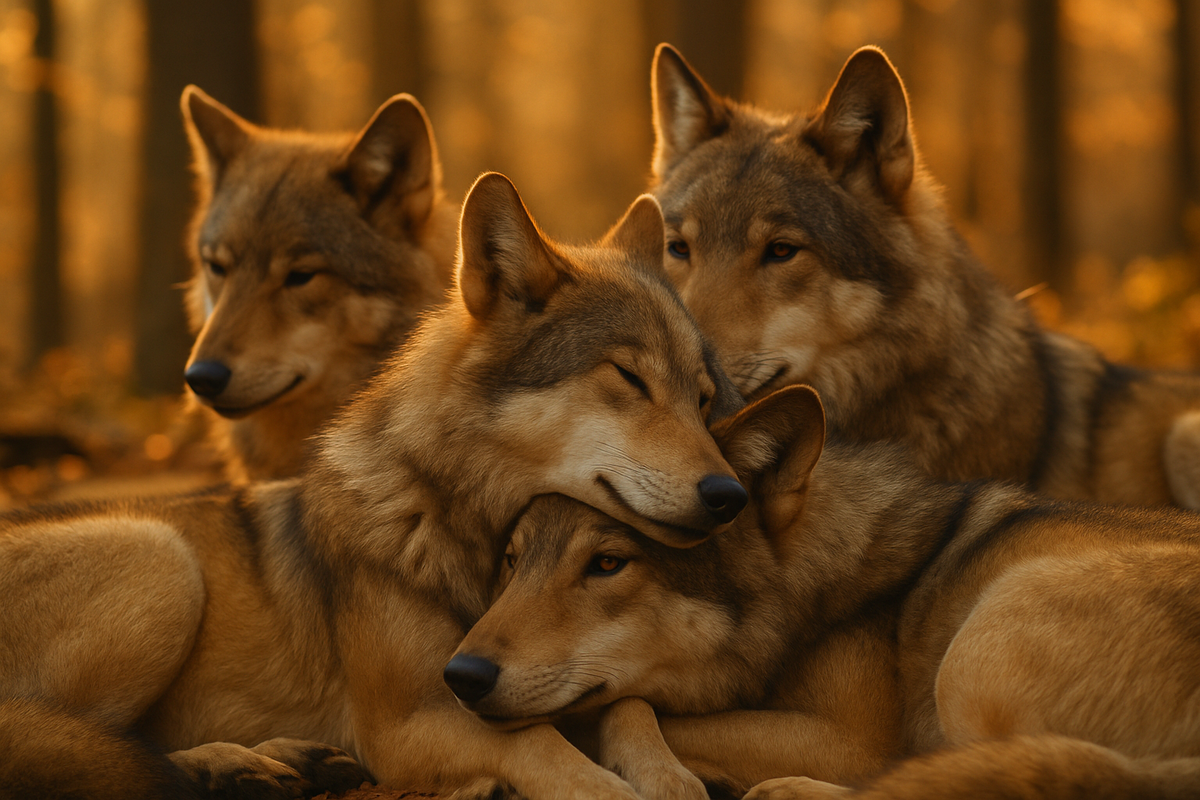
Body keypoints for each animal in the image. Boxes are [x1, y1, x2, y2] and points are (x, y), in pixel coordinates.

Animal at [0, 173, 748, 800]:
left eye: (703, 399)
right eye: (630, 378)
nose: (731, 494)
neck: (457, 534)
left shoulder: (544, 683)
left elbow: (631, 704)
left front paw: (671, 777)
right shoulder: (407, 724)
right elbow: (545, 749)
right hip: (162, 559)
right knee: (74, 744)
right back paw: (230, 767)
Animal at [449, 384, 1200, 800]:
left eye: (607, 563)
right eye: (513, 561)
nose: (461, 675)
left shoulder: (853, 742)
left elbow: (633, 702)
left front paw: (665, 777)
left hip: (981, 643)